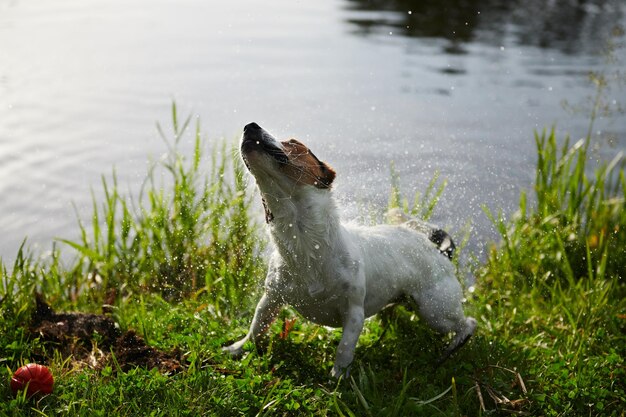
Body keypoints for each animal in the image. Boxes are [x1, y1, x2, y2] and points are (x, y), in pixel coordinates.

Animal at [222, 121, 476, 376]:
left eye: (294, 143)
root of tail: (438, 249)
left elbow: (344, 347)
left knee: (468, 324)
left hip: (435, 310)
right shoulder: (272, 298)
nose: (249, 125)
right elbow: (256, 325)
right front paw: (238, 348)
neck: (306, 244)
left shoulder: (354, 313)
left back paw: (449, 350)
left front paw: (338, 377)